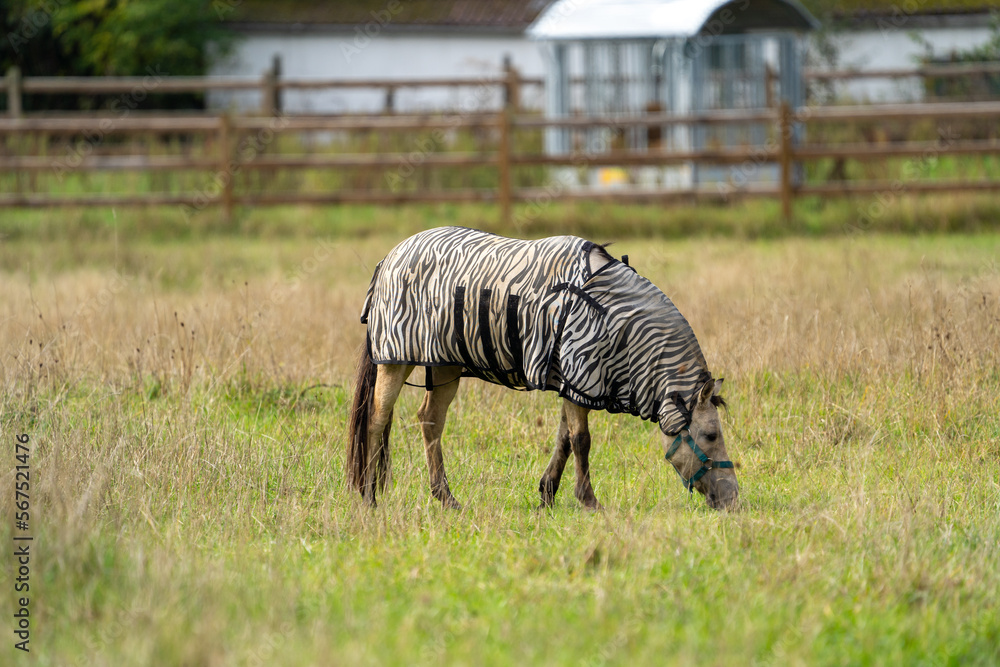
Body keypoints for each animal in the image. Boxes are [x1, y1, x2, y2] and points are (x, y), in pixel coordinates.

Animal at [347, 226, 739, 511]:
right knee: (377, 420)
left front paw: (547, 494)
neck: (613, 317)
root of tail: (390, 256)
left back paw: (446, 498)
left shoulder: (573, 380)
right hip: (396, 360)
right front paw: (588, 500)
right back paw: (369, 497)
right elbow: (582, 440)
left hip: (446, 365)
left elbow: (565, 438)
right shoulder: (580, 374)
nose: (733, 500)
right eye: (710, 436)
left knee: (430, 421)